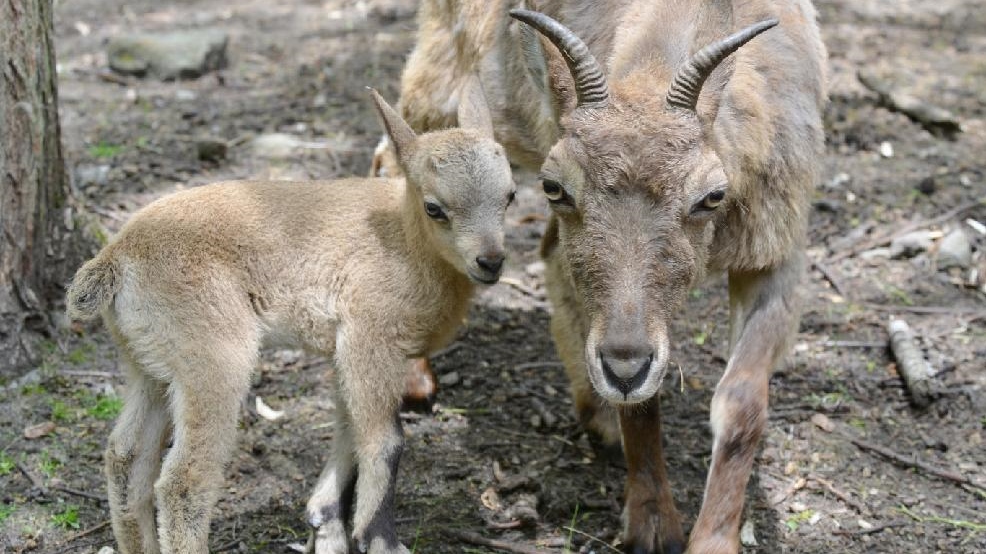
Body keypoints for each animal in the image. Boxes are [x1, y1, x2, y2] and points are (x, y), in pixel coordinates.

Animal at [67, 86, 516, 552]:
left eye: (510, 196)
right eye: (435, 208)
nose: (491, 261)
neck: (406, 241)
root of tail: (115, 260)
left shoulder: (343, 351)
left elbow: (347, 426)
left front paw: (327, 517)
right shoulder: (370, 337)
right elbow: (384, 441)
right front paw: (378, 538)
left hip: (149, 365)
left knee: (125, 457)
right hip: (212, 360)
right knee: (183, 482)